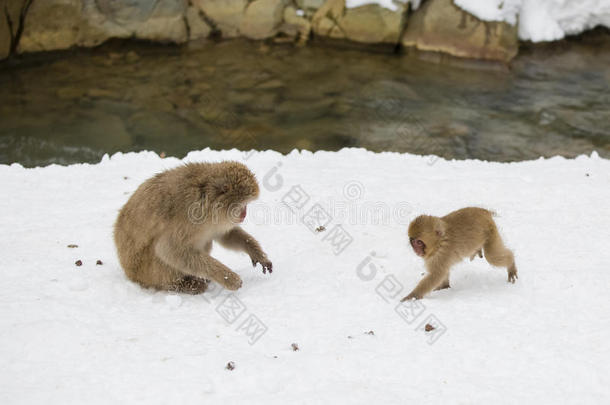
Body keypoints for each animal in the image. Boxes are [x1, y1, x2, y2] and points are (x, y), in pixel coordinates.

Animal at [114, 162, 270, 294]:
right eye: (242, 204)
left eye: (246, 204)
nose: (244, 214)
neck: (206, 198)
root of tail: (129, 273)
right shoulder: (191, 216)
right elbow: (169, 250)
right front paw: (228, 278)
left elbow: (222, 234)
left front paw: (255, 251)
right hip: (146, 272)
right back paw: (181, 285)